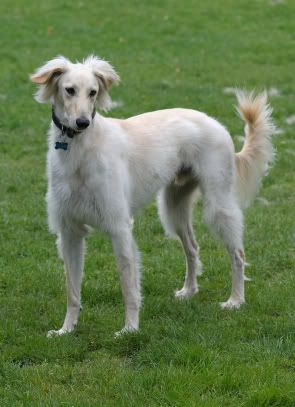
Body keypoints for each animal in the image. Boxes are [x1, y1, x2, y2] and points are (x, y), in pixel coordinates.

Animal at [30, 57, 276, 338]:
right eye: (69, 90)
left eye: (93, 92)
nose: (82, 122)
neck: (80, 150)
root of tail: (213, 122)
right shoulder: (69, 231)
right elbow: (72, 289)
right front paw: (67, 329)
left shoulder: (119, 227)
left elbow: (128, 285)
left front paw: (129, 329)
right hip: (173, 207)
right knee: (192, 247)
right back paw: (189, 291)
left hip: (218, 205)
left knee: (238, 254)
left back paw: (235, 300)